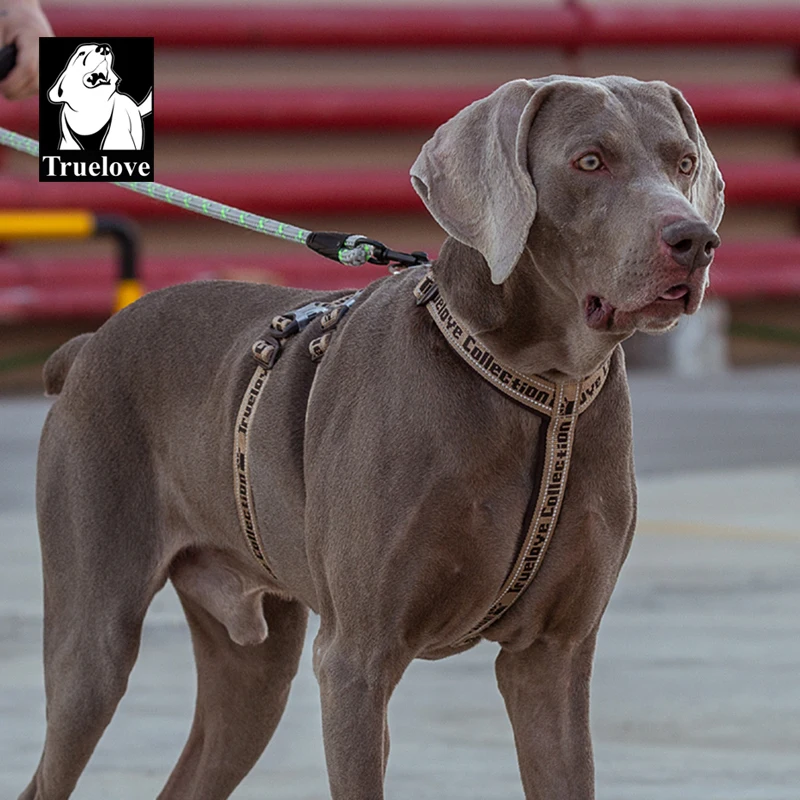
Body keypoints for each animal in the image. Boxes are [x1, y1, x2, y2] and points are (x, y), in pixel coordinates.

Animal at [21, 76, 724, 800]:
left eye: (683, 163)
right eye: (589, 161)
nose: (696, 240)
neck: (542, 388)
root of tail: (87, 346)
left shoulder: (552, 656)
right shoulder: (357, 657)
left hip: (255, 663)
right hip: (94, 636)